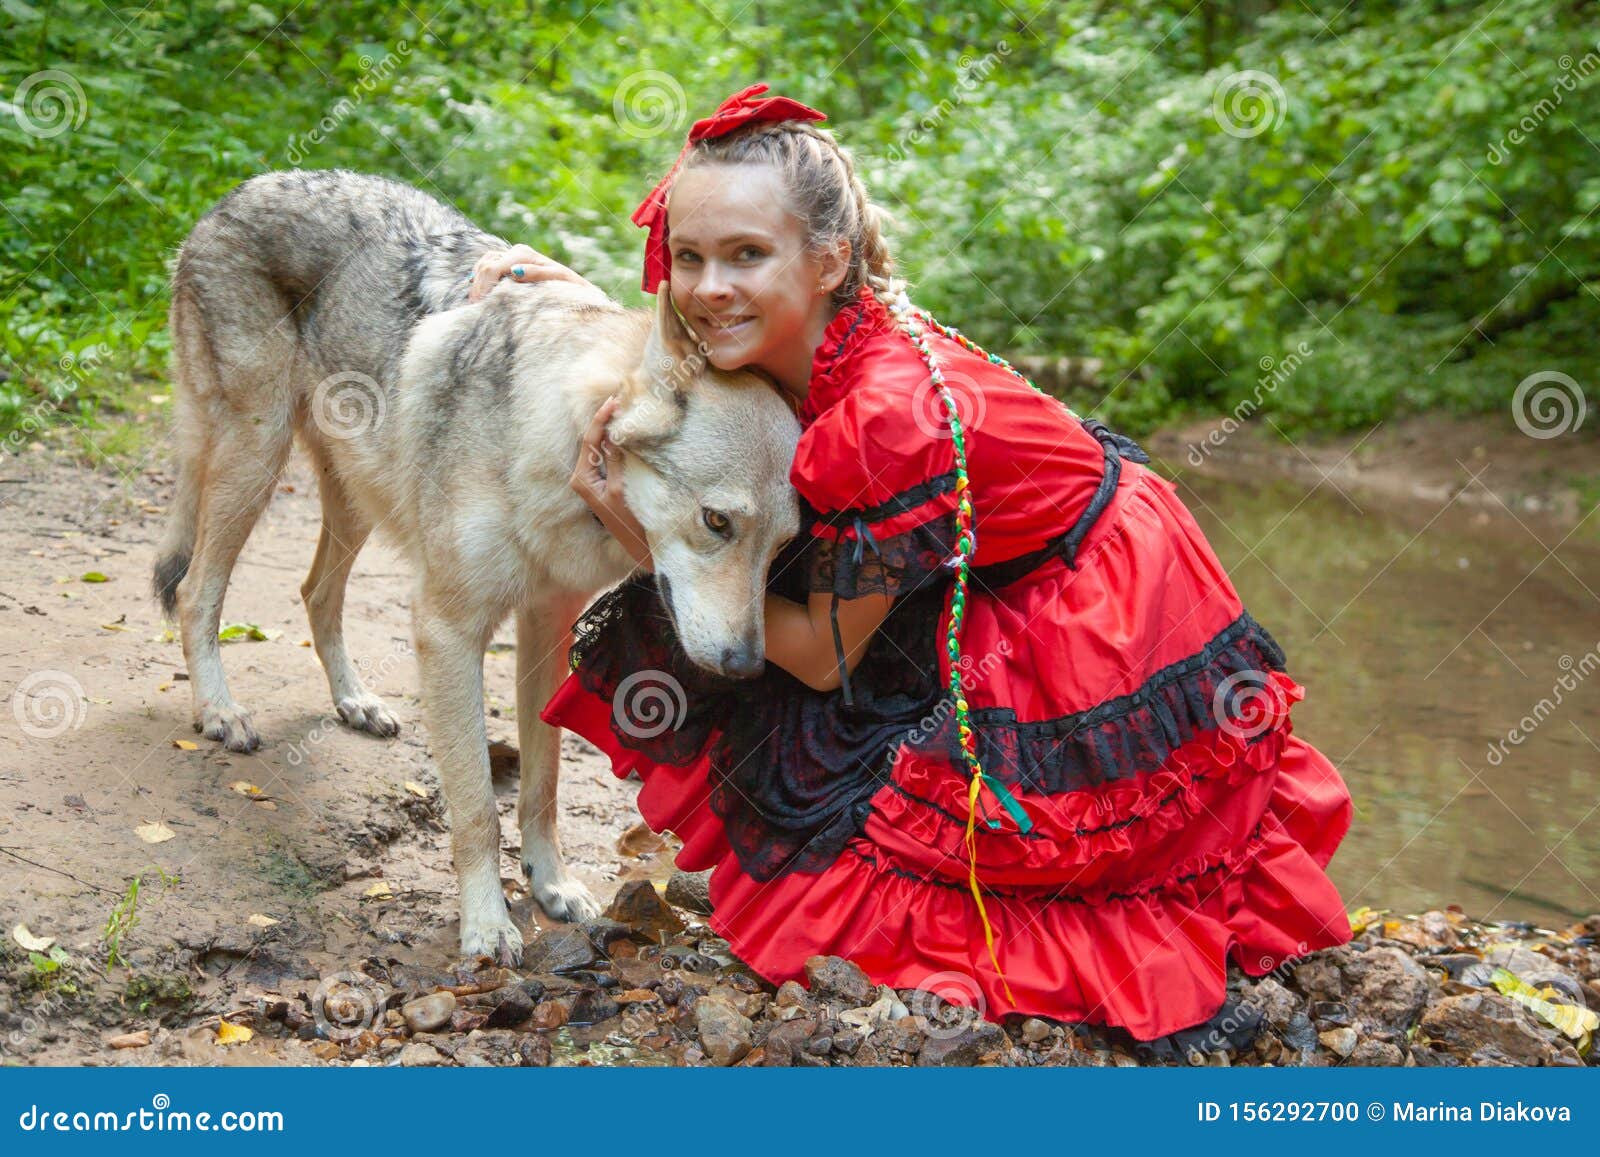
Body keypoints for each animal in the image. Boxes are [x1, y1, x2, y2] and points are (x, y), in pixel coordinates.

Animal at [151, 172, 800, 966]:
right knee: (196, 591)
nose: (745, 666)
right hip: (255, 459)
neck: (548, 439)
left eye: (783, 547)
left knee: (315, 594)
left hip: (355, 500)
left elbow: (542, 785)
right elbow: (476, 808)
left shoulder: (546, 627)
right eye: (717, 523)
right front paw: (487, 927)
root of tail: (238, 190)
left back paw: (355, 701)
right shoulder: (448, 631)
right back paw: (219, 710)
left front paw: (553, 886)